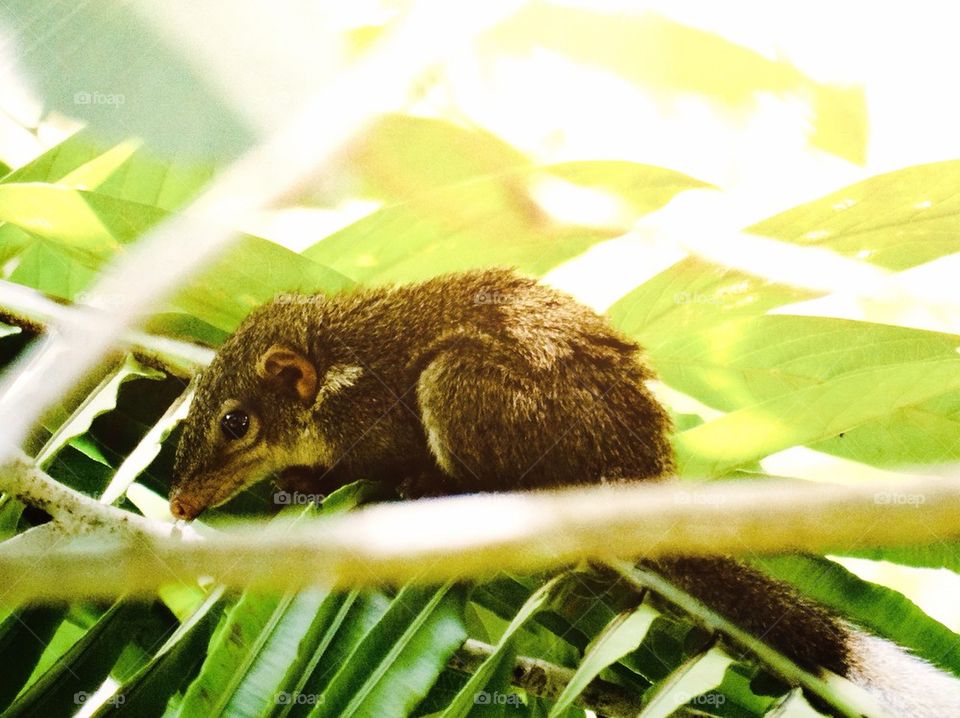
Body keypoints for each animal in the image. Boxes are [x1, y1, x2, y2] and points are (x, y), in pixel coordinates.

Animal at [170, 267, 960, 716]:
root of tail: (634, 473)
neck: (339, 363)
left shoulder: (372, 418)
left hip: (462, 384)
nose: (178, 503)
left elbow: (355, 463)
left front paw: (308, 478)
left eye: (235, 422)